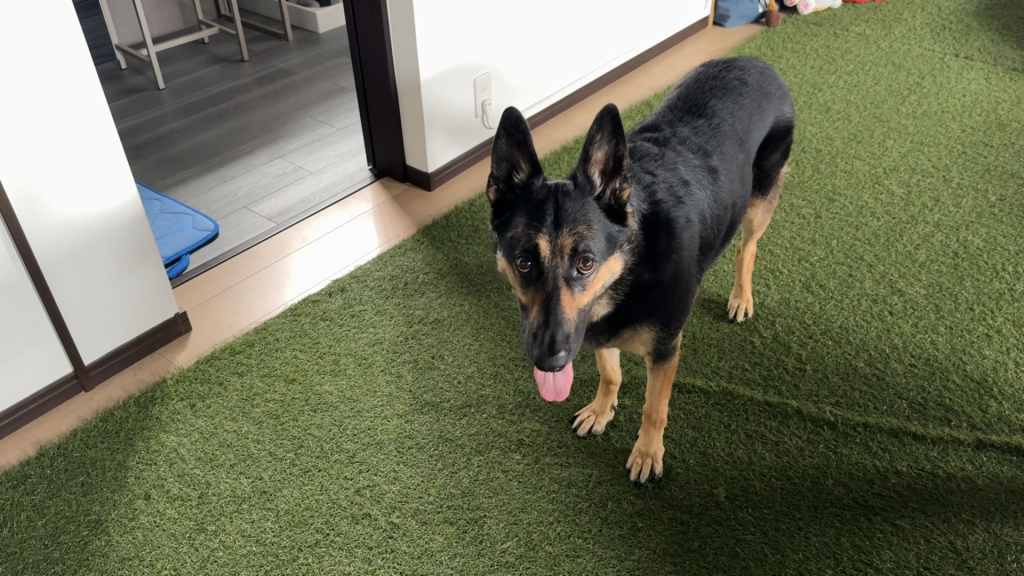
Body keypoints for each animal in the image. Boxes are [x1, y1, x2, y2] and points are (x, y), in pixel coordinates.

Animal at [487, 56, 794, 485]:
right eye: (524, 262)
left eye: (586, 263)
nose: (549, 362)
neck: (633, 262)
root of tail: (755, 61)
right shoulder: (597, 331)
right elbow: (610, 373)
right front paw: (602, 411)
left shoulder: (665, 351)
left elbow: (654, 408)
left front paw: (648, 453)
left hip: (760, 198)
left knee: (746, 247)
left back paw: (741, 296)